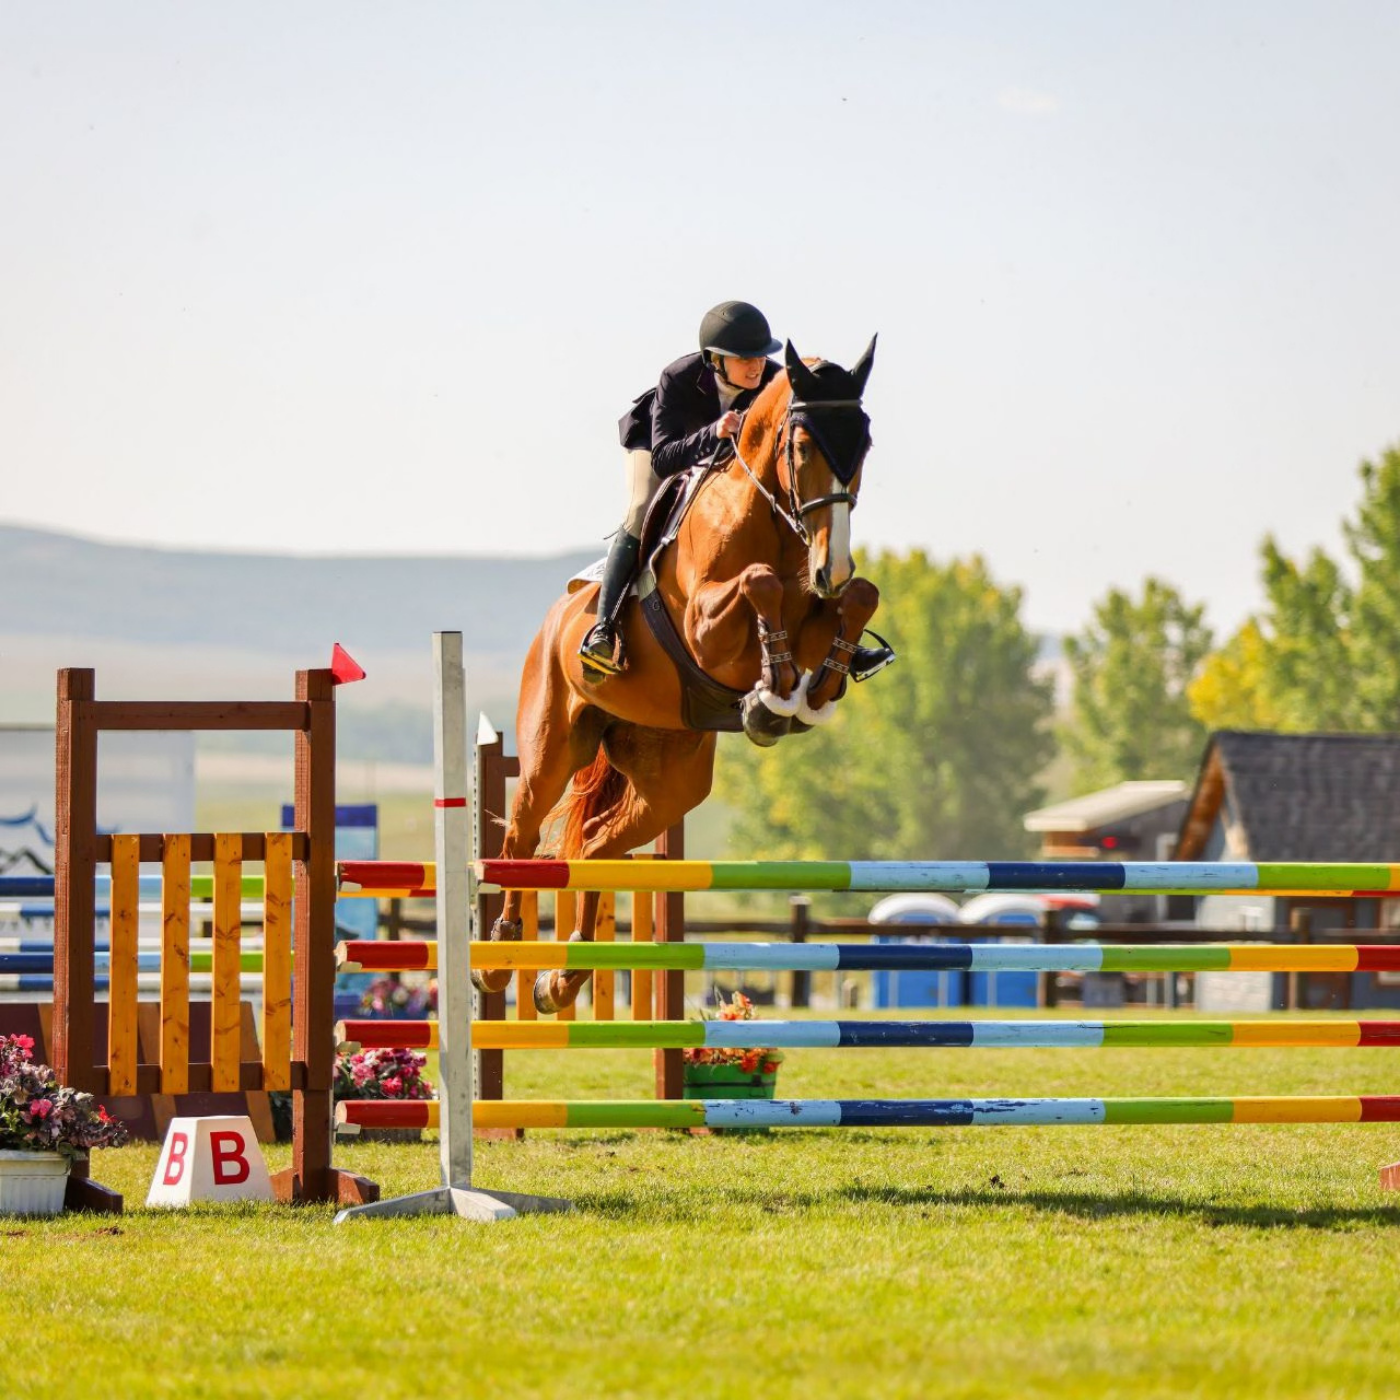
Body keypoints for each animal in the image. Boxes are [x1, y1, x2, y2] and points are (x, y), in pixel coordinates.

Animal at [480, 339, 886, 1013]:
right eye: (803, 445)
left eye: (865, 444)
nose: (831, 565)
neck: (770, 521)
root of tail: (555, 620)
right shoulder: (704, 626)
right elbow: (759, 583)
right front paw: (771, 698)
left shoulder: (817, 610)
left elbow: (858, 598)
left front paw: (804, 694)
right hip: (552, 743)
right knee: (521, 834)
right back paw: (499, 957)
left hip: (669, 778)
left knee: (597, 845)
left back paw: (564, 977)